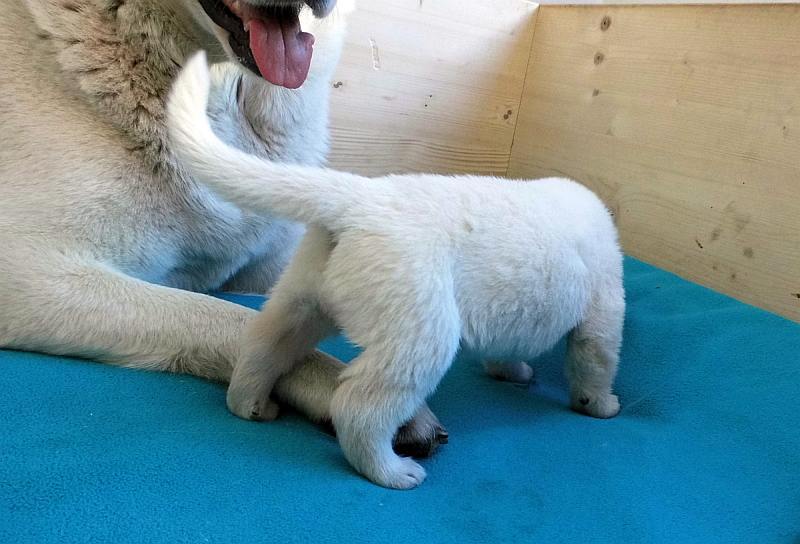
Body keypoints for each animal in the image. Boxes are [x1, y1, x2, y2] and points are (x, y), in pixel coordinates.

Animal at [169, 53, 628, 490]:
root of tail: (357, 198)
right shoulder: (603, 306)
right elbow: (596, 359)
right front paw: (601, 405)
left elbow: (507, 349)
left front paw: (513, 372)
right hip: (420, 328)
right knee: (358, 407)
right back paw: (391, 470)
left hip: (301, 297)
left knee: (262, 347)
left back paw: (251, 404)